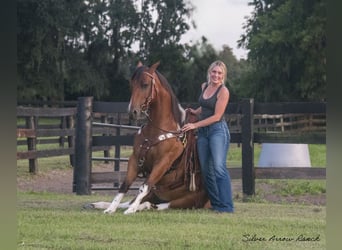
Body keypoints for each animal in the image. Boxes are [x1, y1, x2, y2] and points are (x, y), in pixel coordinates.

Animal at [89, 61, 210, 214]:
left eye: (145, 84)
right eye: (131, 84)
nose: (133, 112)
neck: (156, 131)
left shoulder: (162, 163)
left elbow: (144, 186)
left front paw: (131, 210)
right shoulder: (135, 159)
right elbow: (124, 185)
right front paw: (111, 208)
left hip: (188, 200)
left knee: (156, 205)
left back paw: (139, 207)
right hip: (156, 193)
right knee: (134, 201)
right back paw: (99, 204)